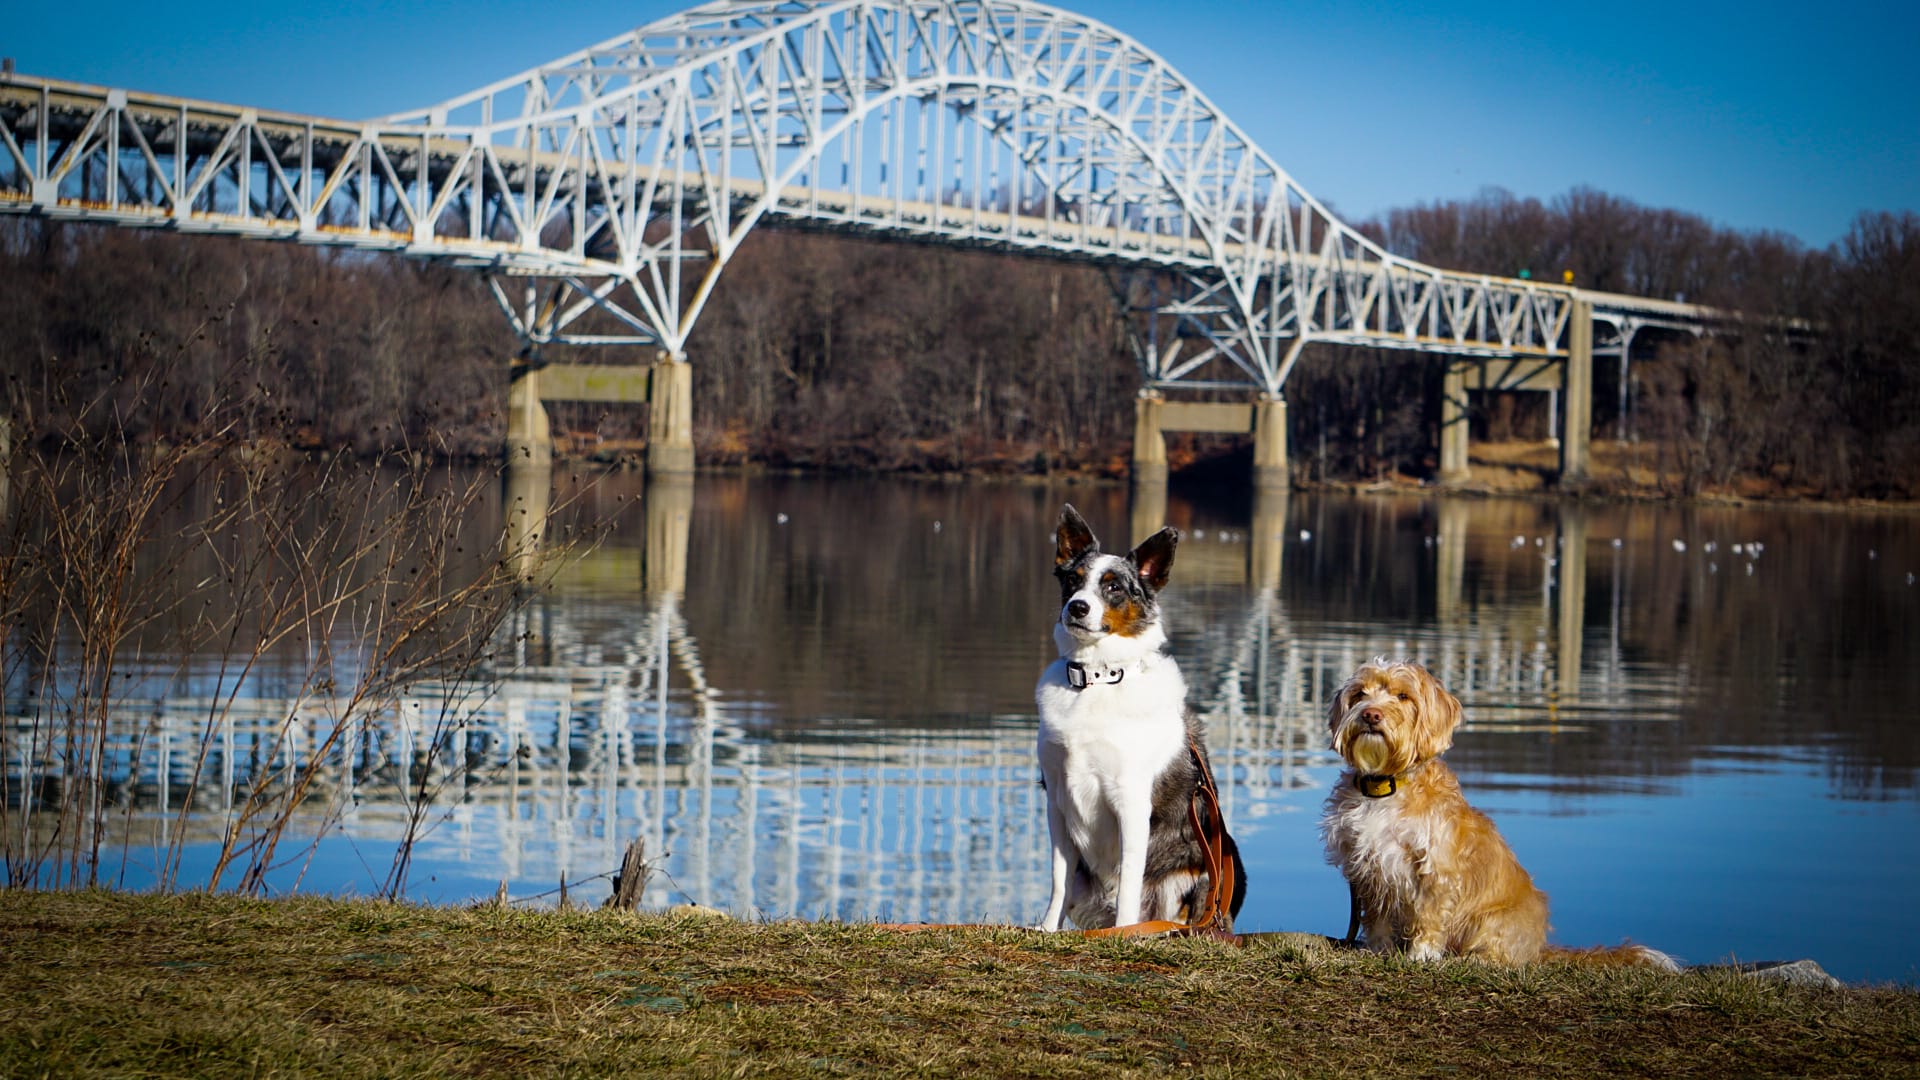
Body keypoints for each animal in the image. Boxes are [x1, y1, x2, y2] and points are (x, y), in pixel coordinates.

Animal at [1036, 499, 1244, 930]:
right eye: (1073, 580)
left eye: (1113, 586)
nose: (1077, 607)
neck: (1096, 679)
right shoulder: (1057, 801)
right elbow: (1058, 879)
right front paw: (1045, 930)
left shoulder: (1130, 801)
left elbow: (1129, 881)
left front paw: (1124, 932)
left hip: (1209, 867)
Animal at [1320, 657, 1681, 968]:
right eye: (1359, 694)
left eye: (1403, 696)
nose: (1371, 715)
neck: (1386, 786)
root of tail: (1537, 947)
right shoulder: (1367, 866)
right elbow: (1376, 916)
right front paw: (1377, 948)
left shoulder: (1436, 869)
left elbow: (1429, 915)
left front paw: (1421, 955)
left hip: (1490, 921)